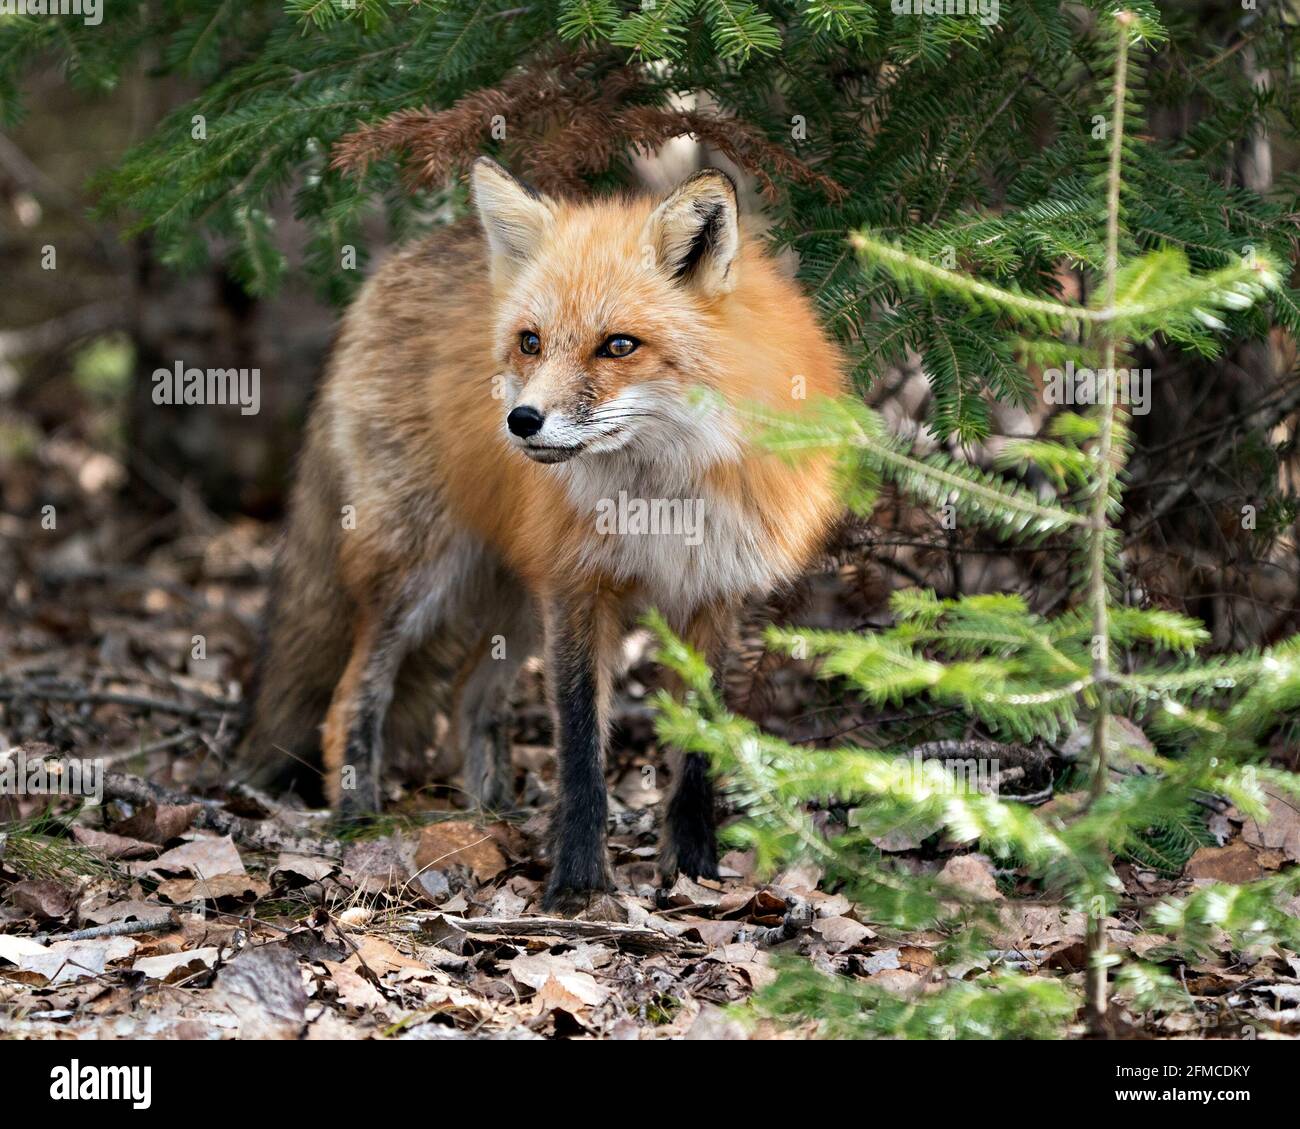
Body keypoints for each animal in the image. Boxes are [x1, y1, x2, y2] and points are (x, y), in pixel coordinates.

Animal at [233, 156, 842, 910]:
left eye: (618, 346)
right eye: (531, 342)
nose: (521, 421)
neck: (661, 495)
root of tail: (400, 261)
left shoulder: (713, 595)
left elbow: (697, 748)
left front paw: (693, 867)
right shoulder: (577, 586)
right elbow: (580, 745)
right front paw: (577, 880)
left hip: (515, 599)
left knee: (469, 694)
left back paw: (490, 812)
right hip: (418, 572)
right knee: (353, 696)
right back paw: (357, 817)